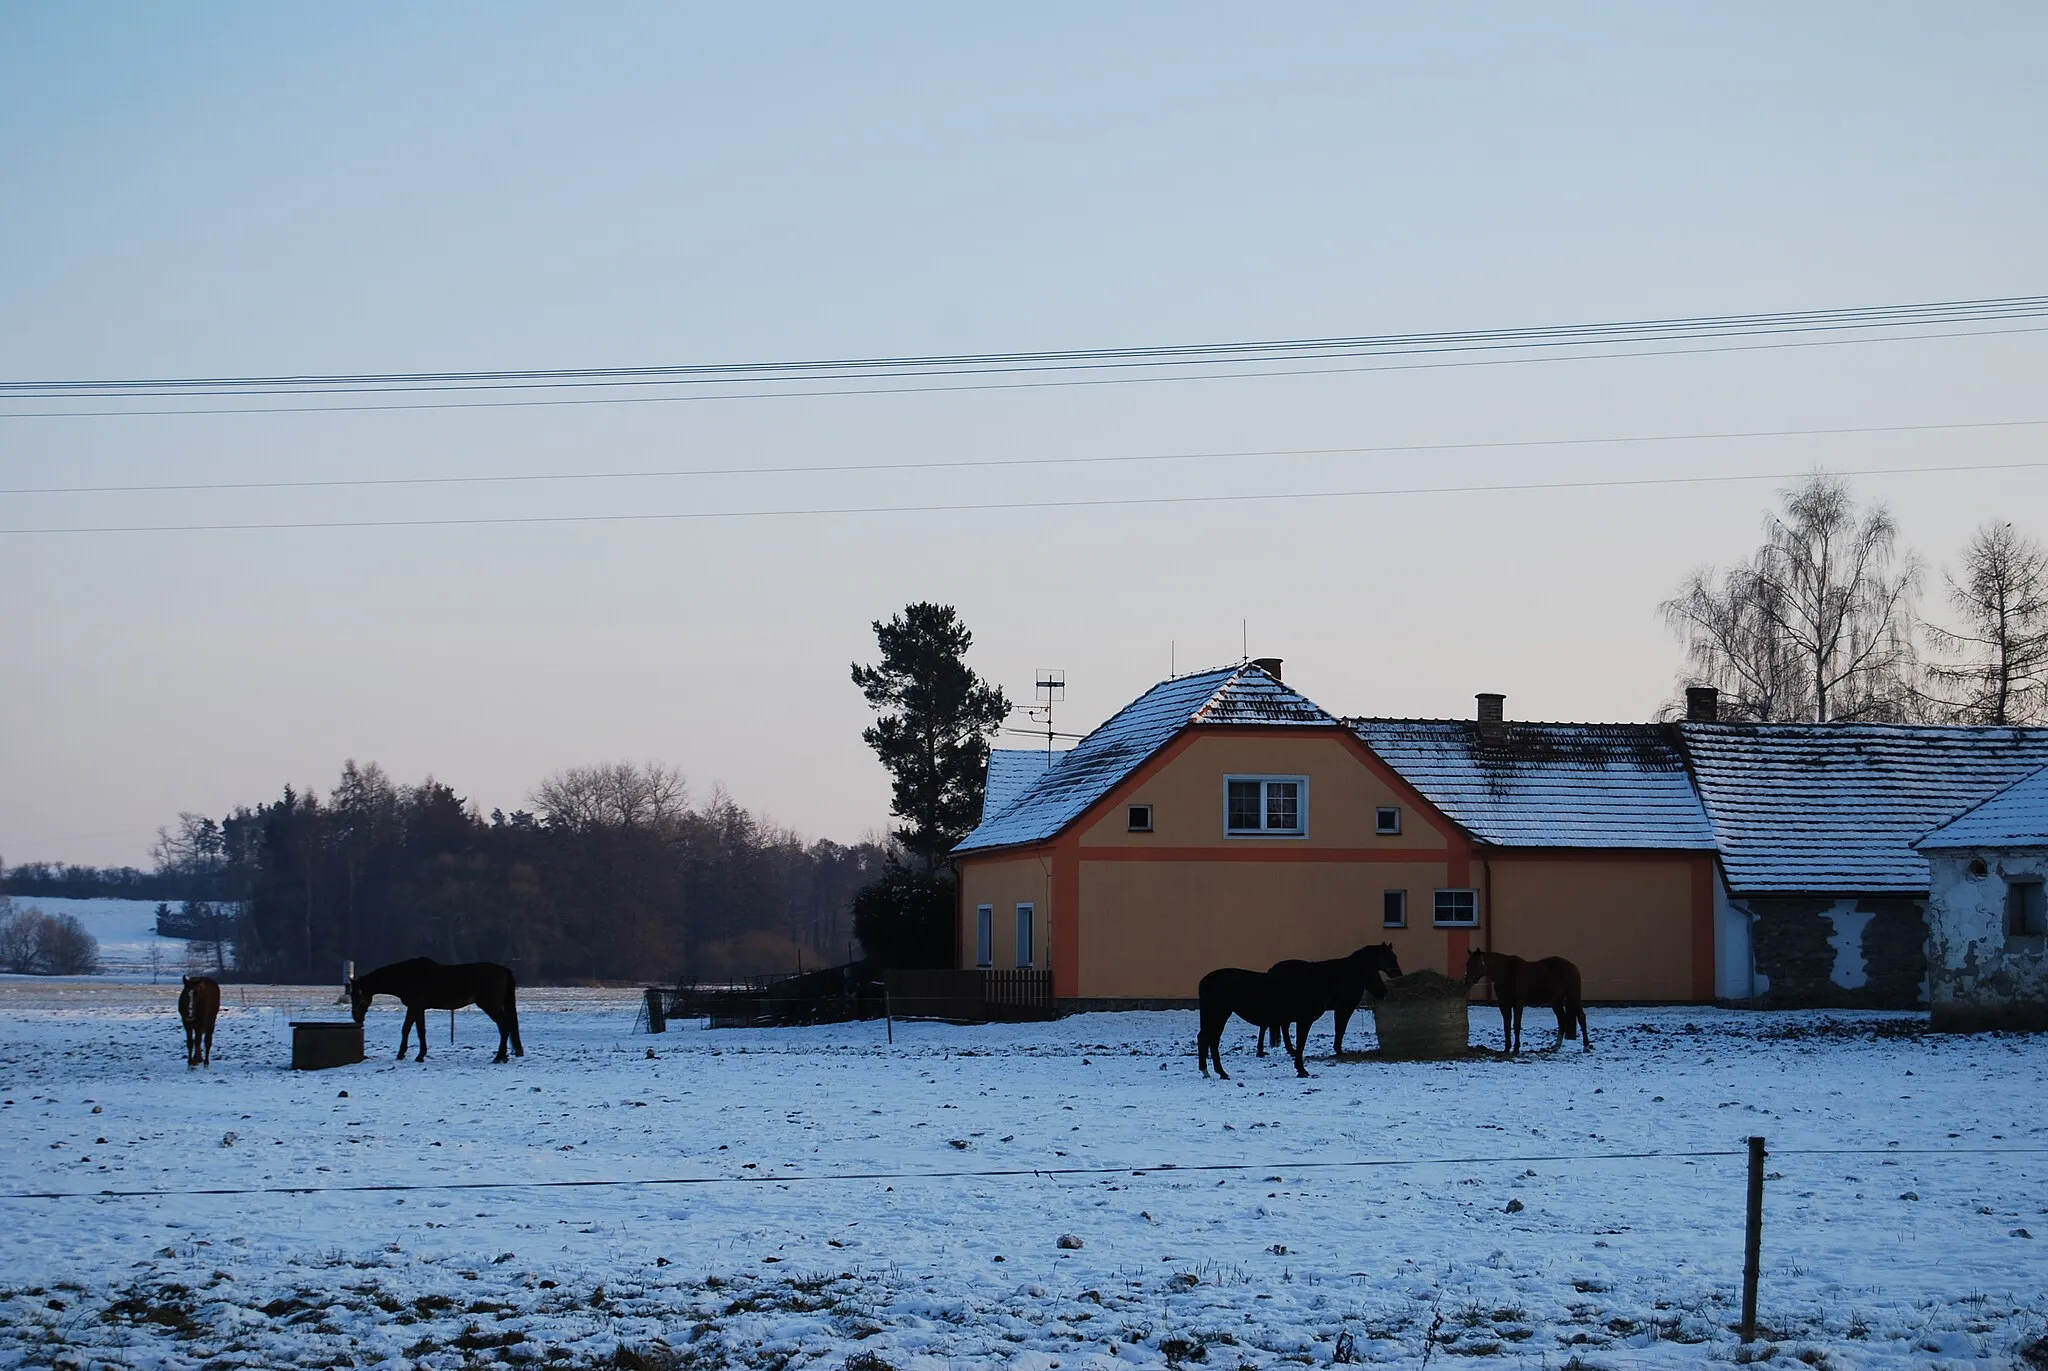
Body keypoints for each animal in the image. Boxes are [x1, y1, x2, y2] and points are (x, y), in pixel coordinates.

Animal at [346, 959, 524, 1065]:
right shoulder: (417, 1008)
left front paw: (411, 1055)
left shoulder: (415, 1007)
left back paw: (499, 1056)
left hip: (490, 1006)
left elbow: (412, 1030)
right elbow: (414, 1030)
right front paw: (411, 1054)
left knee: (504, 1026)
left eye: (356, 994)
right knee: (506, 1027)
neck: (408, 976)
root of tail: (504, 970)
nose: (356, 1017)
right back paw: (504, 1055)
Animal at [1253, 942, 1400, 1057]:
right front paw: (1338, 1050)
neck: (1350, 973)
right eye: (1391, 958)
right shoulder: (1345, 1008)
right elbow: (1340, 1028)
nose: (1398, 974)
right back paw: (1263, 1051)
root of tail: (1272, 970)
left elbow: (1339, 1027)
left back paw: (1288, 1050)